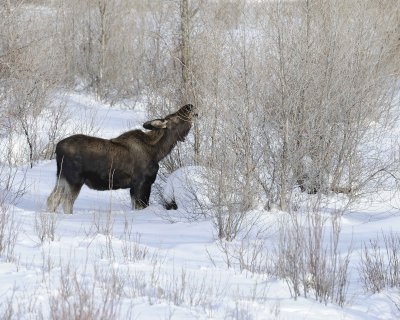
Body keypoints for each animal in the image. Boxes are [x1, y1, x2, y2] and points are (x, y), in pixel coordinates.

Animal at [47, 104, 194, 214]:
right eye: (176, 117)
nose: (190, 106)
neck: (157, 152)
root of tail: (57, 148)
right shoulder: (142, 183)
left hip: (62, 177)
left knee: (52, 199)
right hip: (75, 179)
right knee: (66, 202)